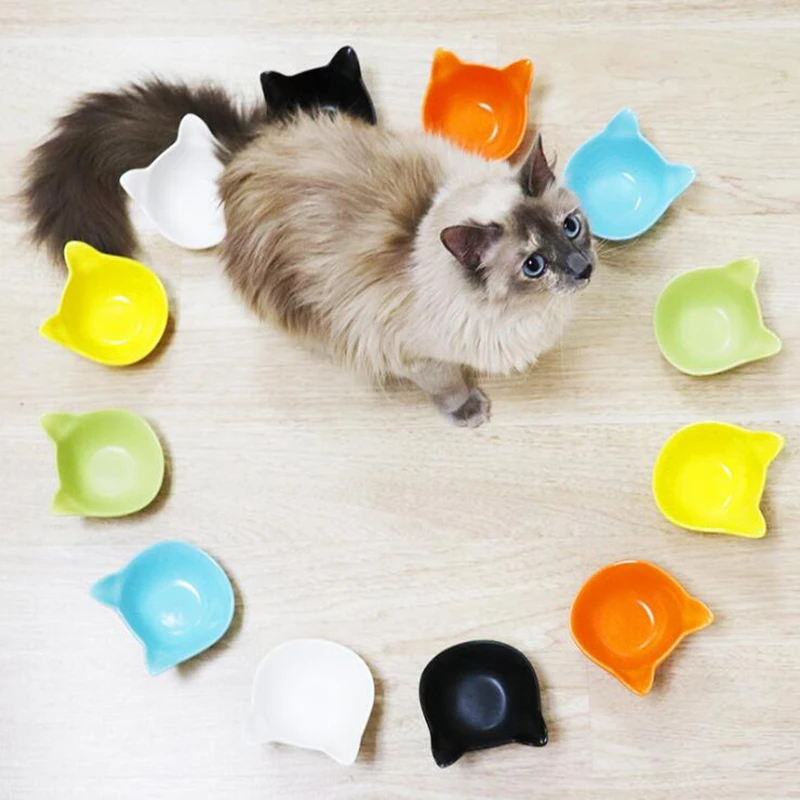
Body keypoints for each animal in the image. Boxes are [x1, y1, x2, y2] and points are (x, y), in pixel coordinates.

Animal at [22, 80, 595, 427]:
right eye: (533, 265)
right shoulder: (420, 357)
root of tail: (241, 156)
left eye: (571, 227)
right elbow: (447, 384)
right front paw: (469, 412)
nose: (583, 269)